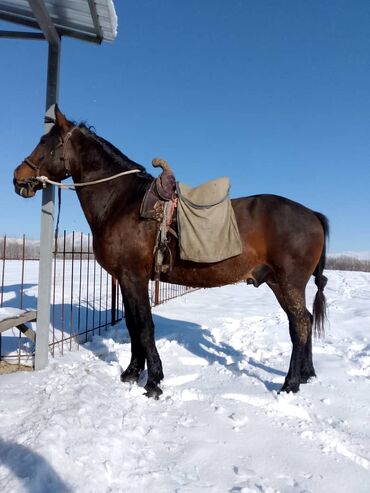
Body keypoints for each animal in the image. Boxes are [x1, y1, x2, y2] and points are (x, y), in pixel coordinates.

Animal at [13, 105, 328, 398]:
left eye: (45, 142)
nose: (18, 177)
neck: (122, 202)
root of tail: (312, 214)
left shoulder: (133, 277)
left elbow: (144, 326)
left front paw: (153, 381)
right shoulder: (126, 280)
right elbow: (132, 325)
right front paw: (132, 372)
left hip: (289, 283)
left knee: (300, 324)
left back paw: (290, 383)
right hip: (278, 283)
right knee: (305, 321)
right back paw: (307, 374)